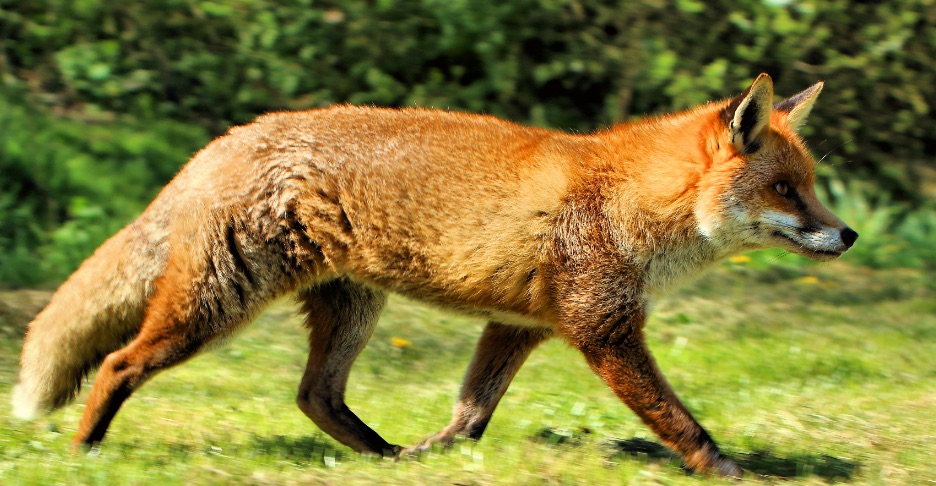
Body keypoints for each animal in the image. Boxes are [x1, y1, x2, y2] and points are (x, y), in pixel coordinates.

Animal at [13, 73, 856, 477]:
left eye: (811, 186)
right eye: (787, 190)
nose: (847, 233)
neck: (627, 198)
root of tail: (229, 137)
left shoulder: (518, 327)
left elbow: (471, 414)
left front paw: (437, 457)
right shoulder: (603, 327)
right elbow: (681, 422)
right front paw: (730, 471)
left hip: (351, 310)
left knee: (315, 396)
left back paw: (383, 458)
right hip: (219, 304)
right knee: (118, 363)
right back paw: (84, 453)